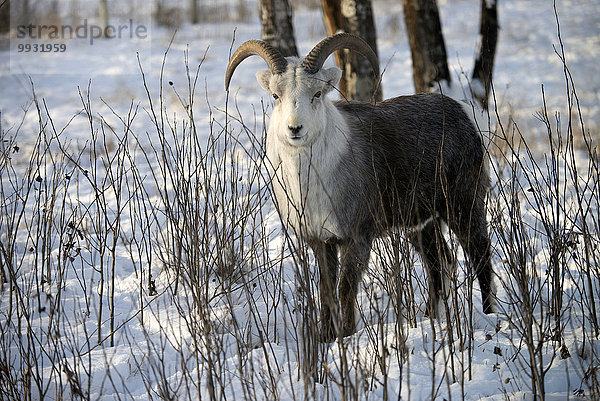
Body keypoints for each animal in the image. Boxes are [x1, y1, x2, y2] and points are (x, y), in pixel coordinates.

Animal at [226, 32, 496, 340]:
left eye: (316, 94)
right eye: (275, 95)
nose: (295, 129)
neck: (311, 180)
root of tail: (467, 114)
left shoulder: (356, 239)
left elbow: (346, 289)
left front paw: (347, 335)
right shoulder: (321, 242)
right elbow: (327, 290)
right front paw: (326, 338)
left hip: (463, 207)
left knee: (481, 256)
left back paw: (490, 317)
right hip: (422, 225)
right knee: (440, 264)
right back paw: (430, 320)